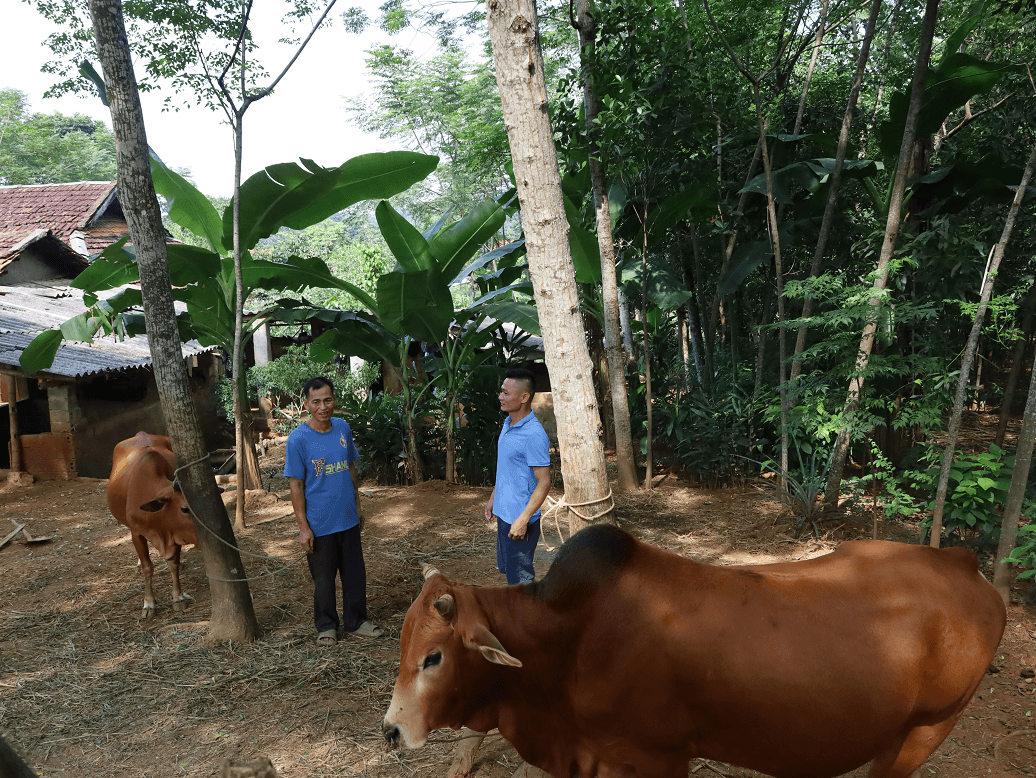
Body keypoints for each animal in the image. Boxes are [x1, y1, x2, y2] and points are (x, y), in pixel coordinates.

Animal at [107, 433, 197, 621]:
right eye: (185, 508)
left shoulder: (173, 533)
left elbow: (173, 563)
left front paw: (178, 597)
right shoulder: (136, 533)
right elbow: (147, 567)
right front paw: (149, 603)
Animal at [385, 524, 1006, 778]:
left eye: (434, 656)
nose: (391, 730)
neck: (568, 641)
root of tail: (963, 563)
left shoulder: (658, 758)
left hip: (927, 729)